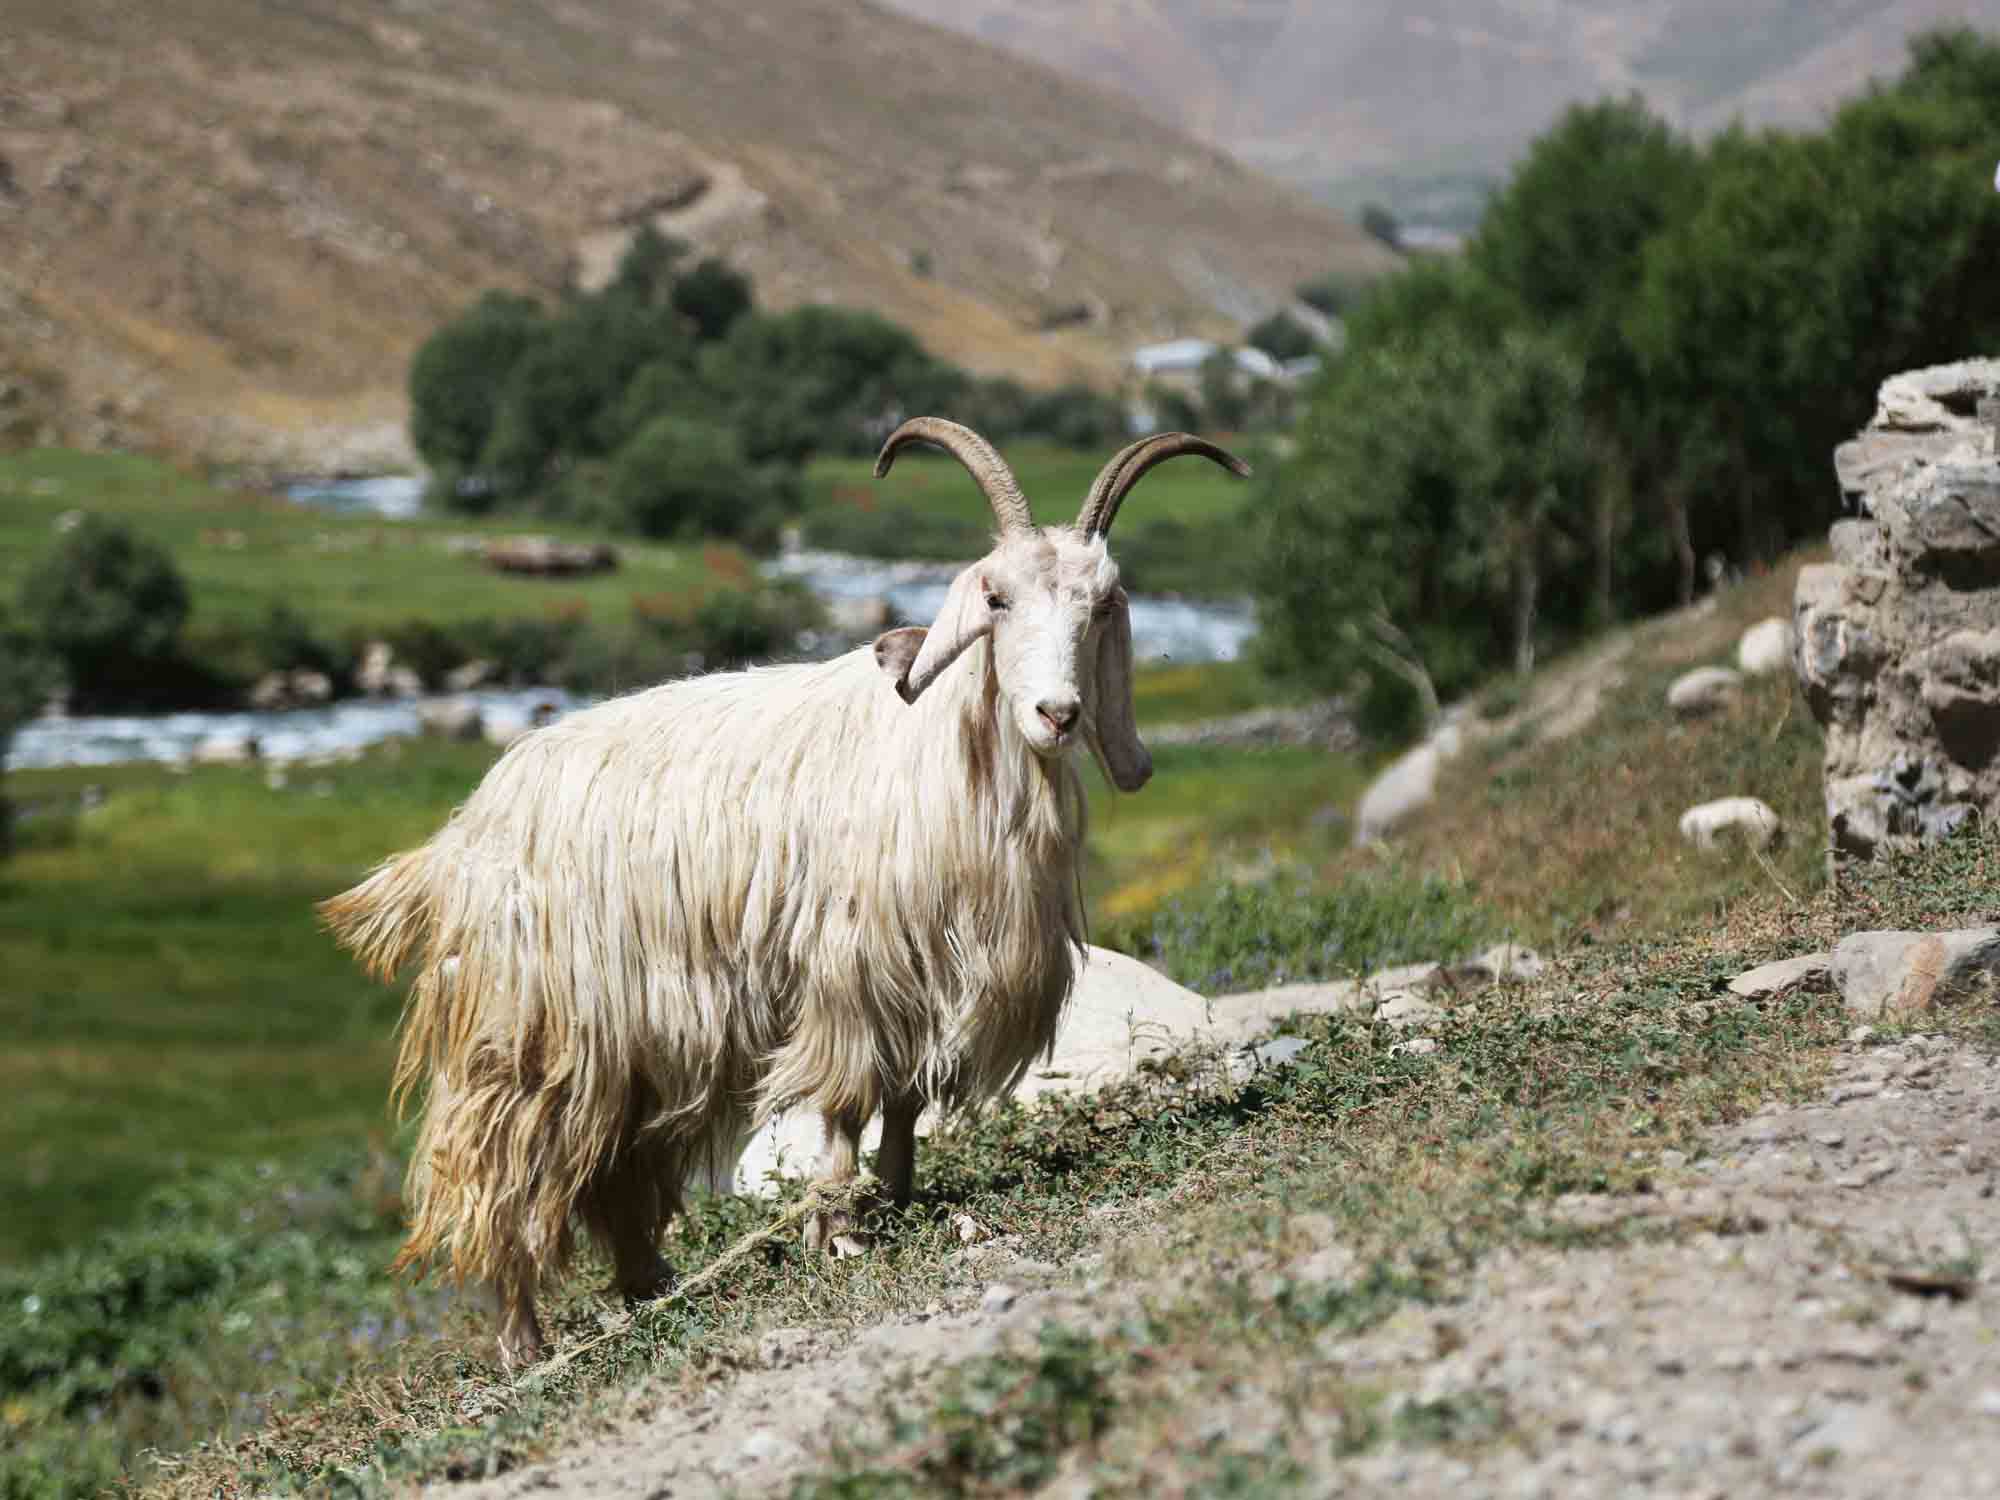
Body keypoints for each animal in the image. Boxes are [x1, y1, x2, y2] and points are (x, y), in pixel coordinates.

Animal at [320, 419, 1248, 1365]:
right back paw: (523, 1341)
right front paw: (837, 1230)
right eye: (996, 597)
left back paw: (649, 1285)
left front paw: (896, 1200)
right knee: (497, 1173)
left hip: (629, 1041)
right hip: (526, 1033)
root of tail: (461, 835)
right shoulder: (847, 969)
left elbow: (906, 1103)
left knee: (616, 1166)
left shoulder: (928, 972)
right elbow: (845, 1102)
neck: (938, 754)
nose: (1057, 716)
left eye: (1103, 606)